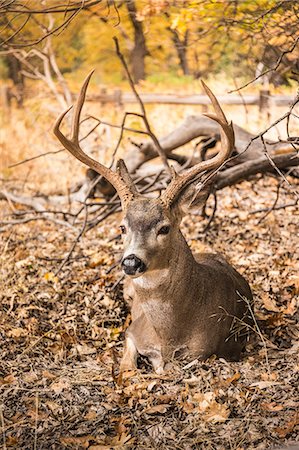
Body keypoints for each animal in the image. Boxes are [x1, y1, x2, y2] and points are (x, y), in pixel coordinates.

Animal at [54, 71, 253, 372]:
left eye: (164, 228)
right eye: (122, 226)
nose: (131, 262)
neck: (169, 336)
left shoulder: (205, 352)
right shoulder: (132, 332)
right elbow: (128, 365)